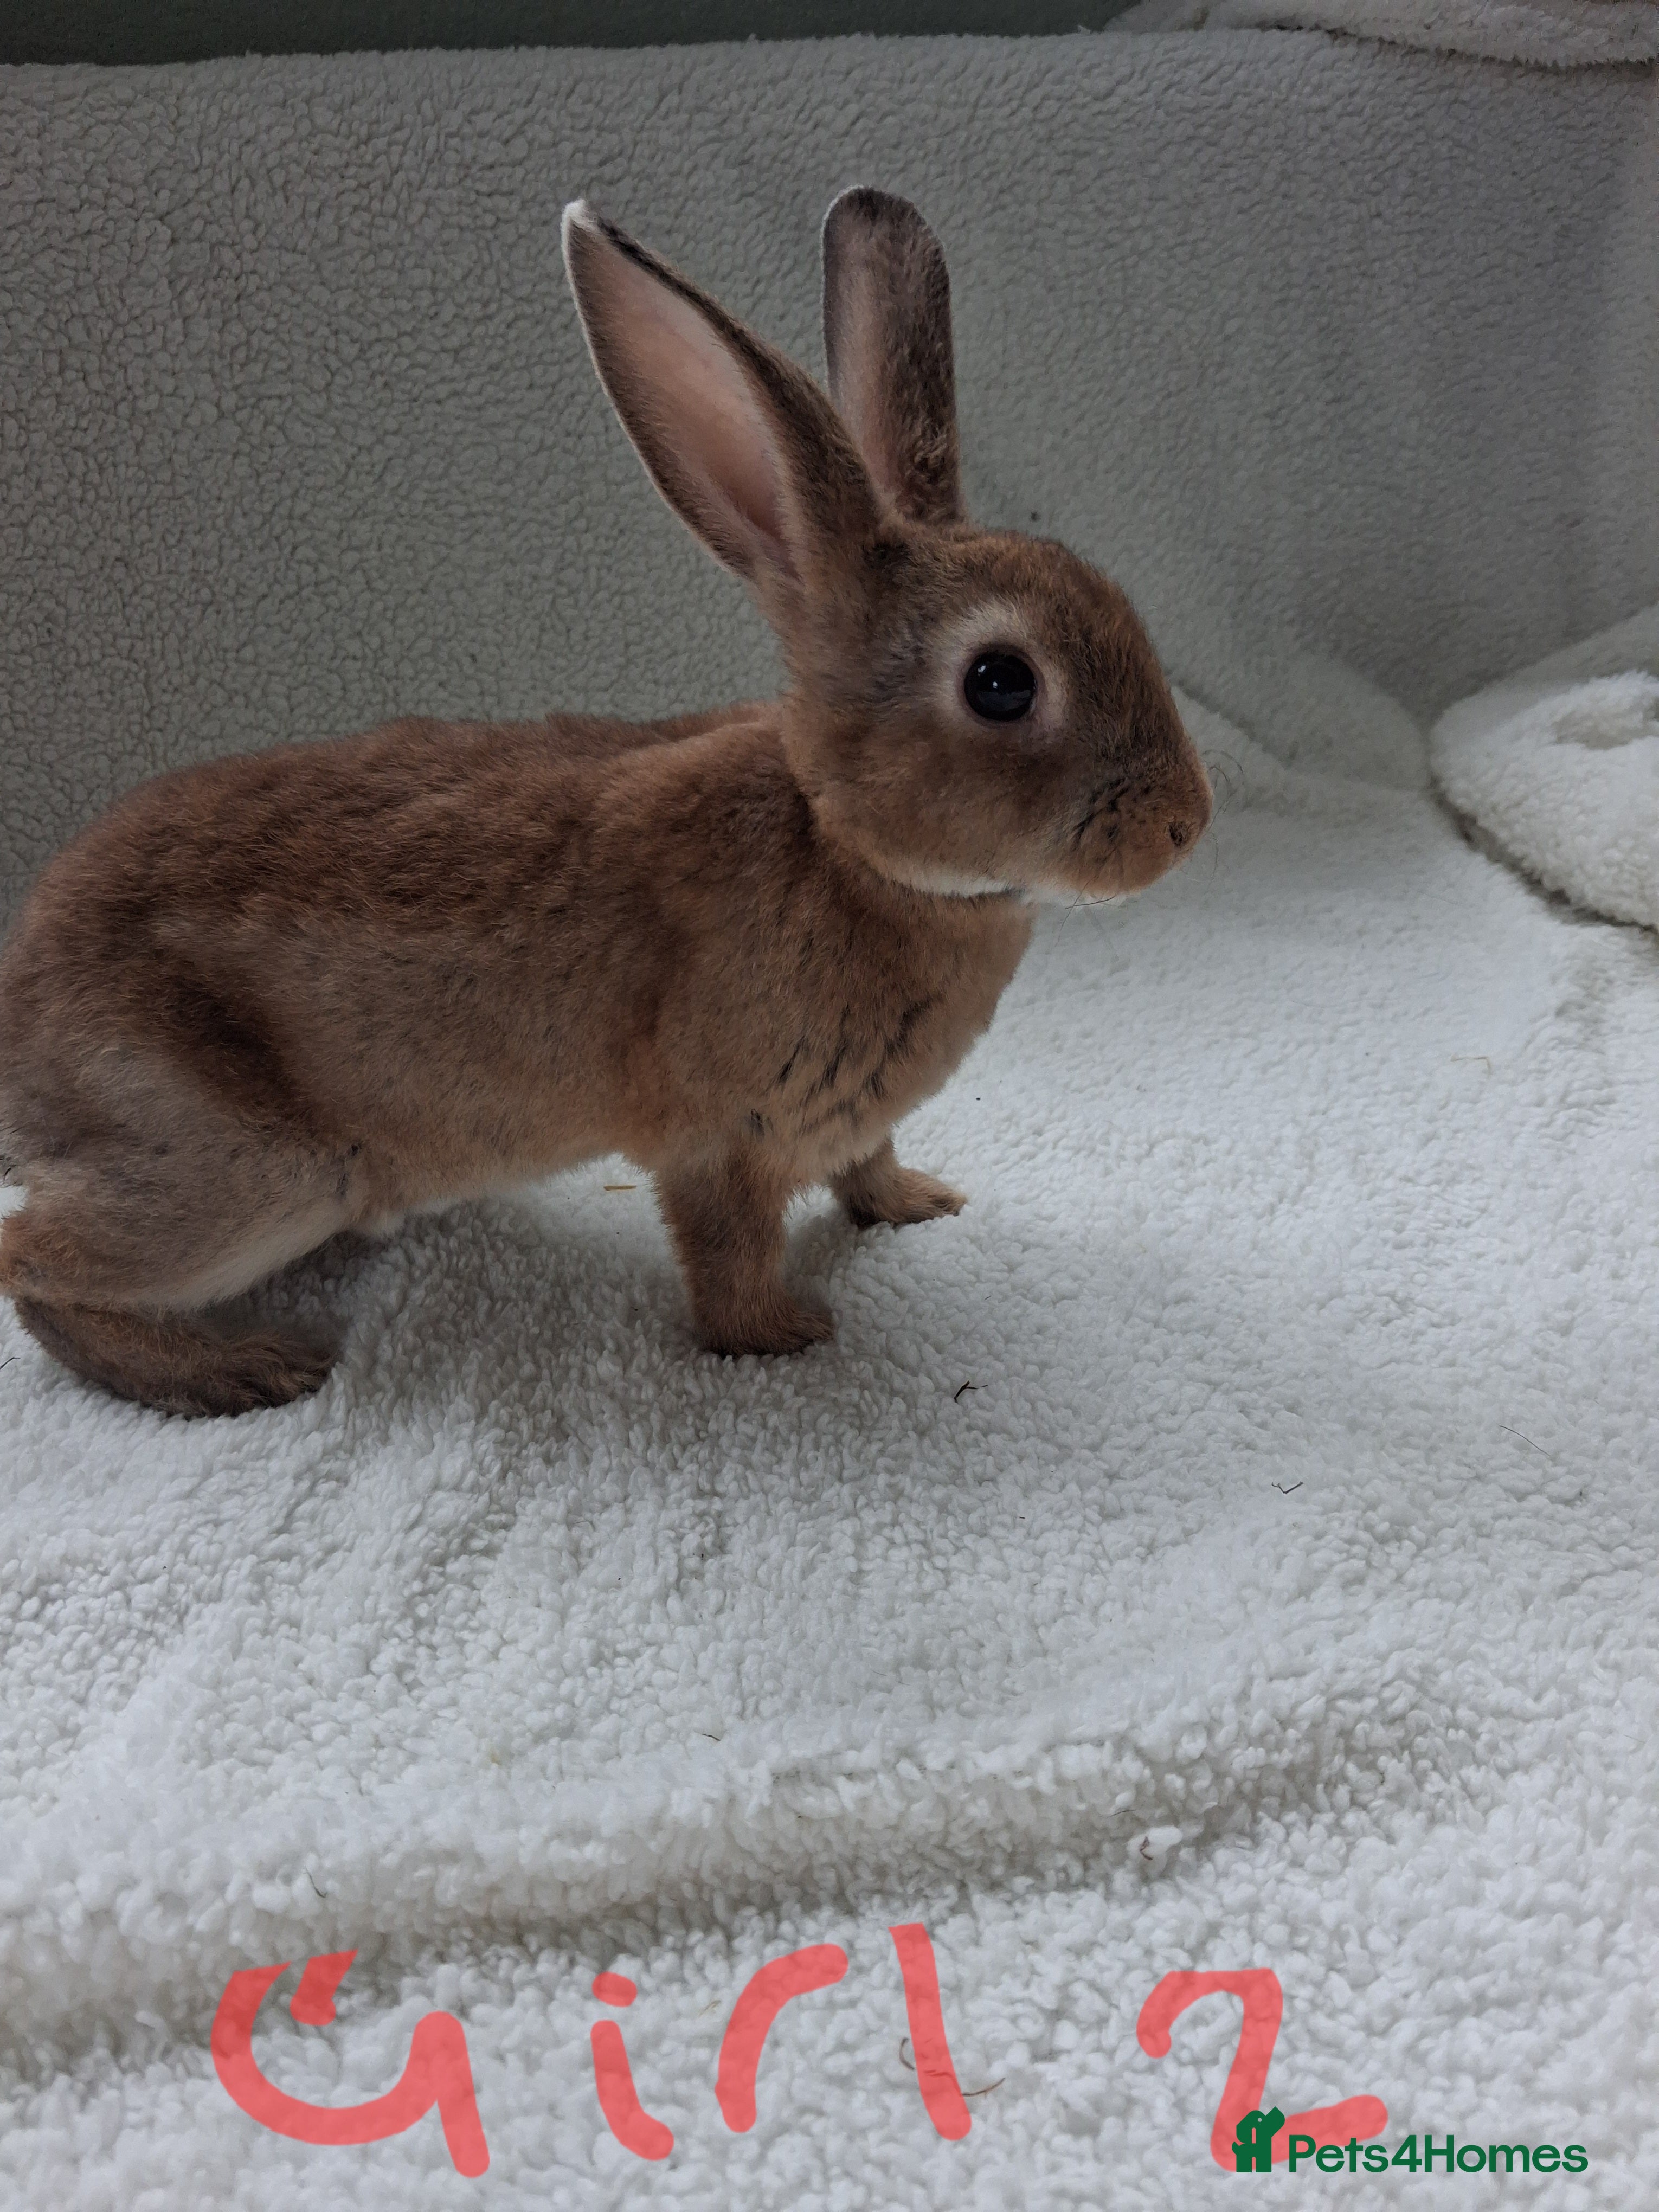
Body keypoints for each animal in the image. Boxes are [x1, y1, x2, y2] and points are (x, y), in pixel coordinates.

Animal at [0, 187, 1211, 1417]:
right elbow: (726, 1255)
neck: (845, 847)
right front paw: (787, 1335)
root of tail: (21, 1035)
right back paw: (241, 1370)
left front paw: (917, 1204)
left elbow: (864, 1169)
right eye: (1002, 684)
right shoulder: (723, 1138)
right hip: (253, 1171)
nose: (1185, 825)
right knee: (34, 1264)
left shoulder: (846, 1119)